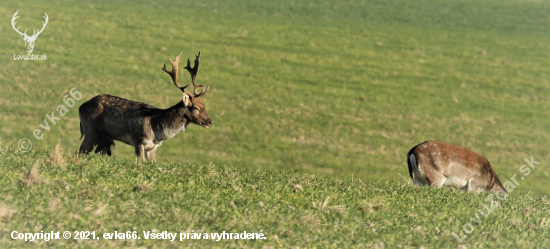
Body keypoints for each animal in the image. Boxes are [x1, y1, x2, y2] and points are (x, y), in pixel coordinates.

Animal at [78, 52, 212, 161]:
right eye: (196, 108)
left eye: (204, 106)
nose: (210, 121)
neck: (156, 132)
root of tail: (81, 107)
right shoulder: (139, 140)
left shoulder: (153, 147)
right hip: (90, 130)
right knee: (79, 153)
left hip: (104, 138)